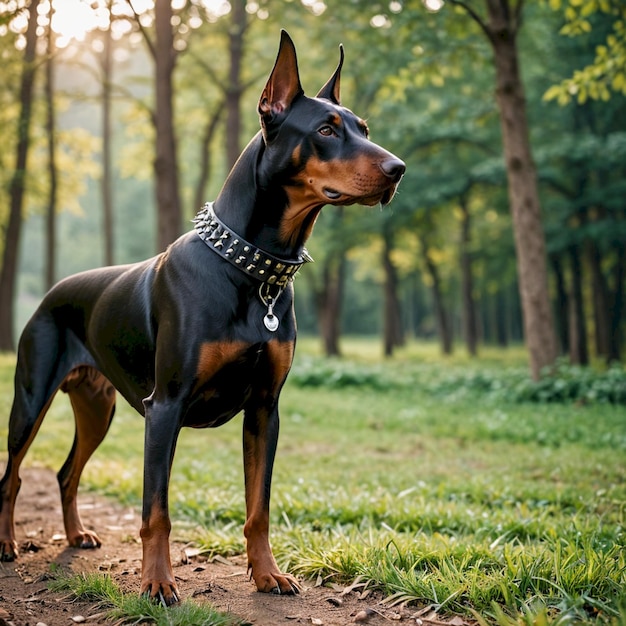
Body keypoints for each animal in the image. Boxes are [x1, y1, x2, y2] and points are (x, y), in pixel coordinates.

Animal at [1, 31, 404, 604]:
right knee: (12, 475)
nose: (398, 169)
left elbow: (258, 508)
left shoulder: (264, 410)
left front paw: (267, 574)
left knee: (64, 473)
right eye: (326, 130)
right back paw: (7, 543)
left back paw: (76, 535)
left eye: (363, 129)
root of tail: (52, 291)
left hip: (97, 407)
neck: (252, 269)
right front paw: (157, 583)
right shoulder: (164, 407)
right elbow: (157, 512)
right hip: (32, 398)